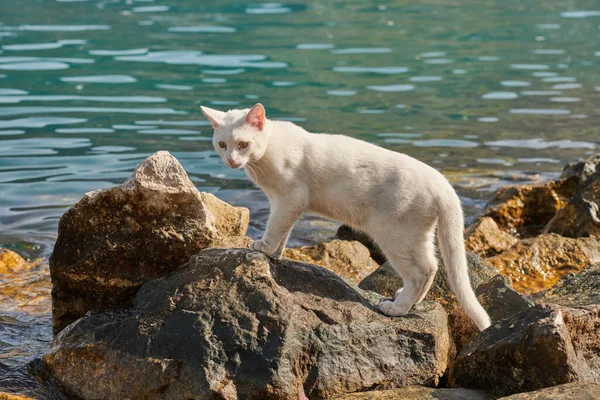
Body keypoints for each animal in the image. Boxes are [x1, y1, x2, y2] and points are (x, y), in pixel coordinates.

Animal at [202, 103, 492, 332]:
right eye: (222, 145)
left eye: (243, 144)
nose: (231, 160)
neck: (266, 154)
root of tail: (442, 183)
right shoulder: (282, 202)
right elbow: (283, 230)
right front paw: (275, 253)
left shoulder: (289, 198)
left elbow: (275, 226)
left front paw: (263, 247)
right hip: (417, 236)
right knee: (432, 266)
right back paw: (411, 301)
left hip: (395, 236)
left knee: (421, 271)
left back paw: (397, 307)